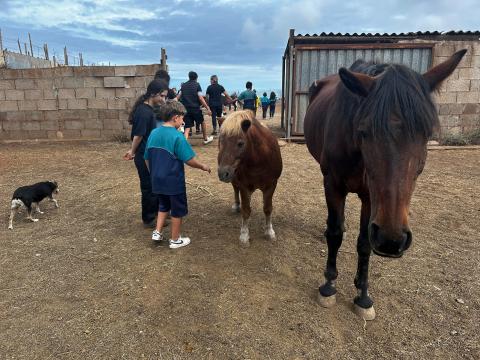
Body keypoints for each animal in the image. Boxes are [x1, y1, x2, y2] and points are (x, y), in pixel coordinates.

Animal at [218, 110, 282, 245]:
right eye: (220, 142)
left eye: (240, 143)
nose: (222, 173)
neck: (259, 161)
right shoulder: (244, 186)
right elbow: (246, 210)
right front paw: (244, 235)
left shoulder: (271, 185)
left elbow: (268, 208)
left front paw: (269, 232)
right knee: (235, 189)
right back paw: (236, 205)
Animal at [304, 49, 464, 320]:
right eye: (365, 131)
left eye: (427, 134)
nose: (392, 239)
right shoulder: (333, 184)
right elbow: (334, 234)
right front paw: (328, 285)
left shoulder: (371, 197)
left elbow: (364, 243)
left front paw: (363, 295)